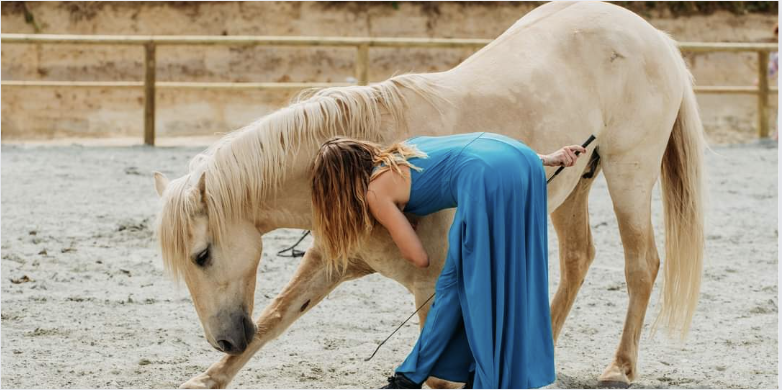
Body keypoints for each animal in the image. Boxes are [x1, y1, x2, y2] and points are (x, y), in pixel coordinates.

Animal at [156, 2, 708, 386]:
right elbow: (277, 316)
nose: (225, 339)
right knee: (576, 260)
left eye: (201, 255)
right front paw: (208, 379)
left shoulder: (429, 284)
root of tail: (652, 34)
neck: (373, 154)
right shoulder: (333, 263)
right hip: (576, 182)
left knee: (641, 263)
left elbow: (435, 359)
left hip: (629, 173)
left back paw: (619, 368)